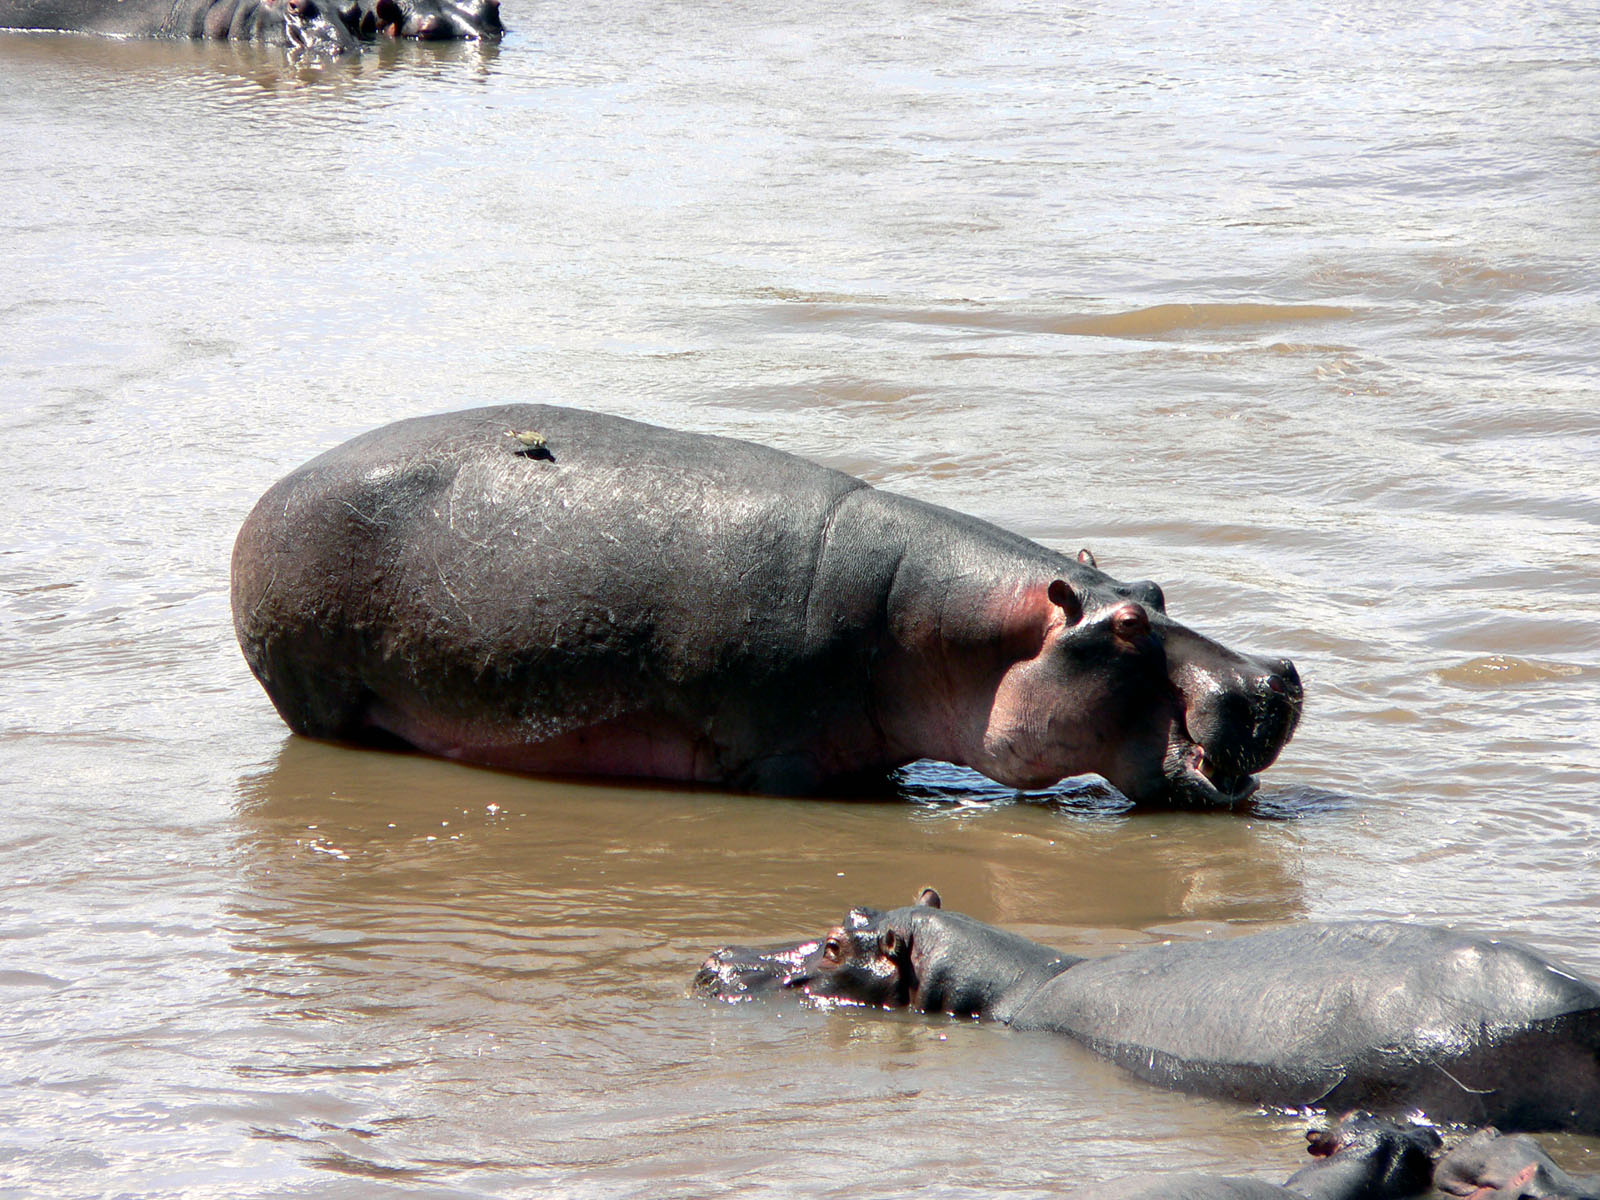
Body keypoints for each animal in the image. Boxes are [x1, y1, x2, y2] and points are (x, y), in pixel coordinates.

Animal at [233, 404, 1299, 809]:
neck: (955, 629)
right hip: (320, 694)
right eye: (1126, 628)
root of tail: (263, 501)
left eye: (1155, 591)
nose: (1276, 673)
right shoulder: (780, 754)